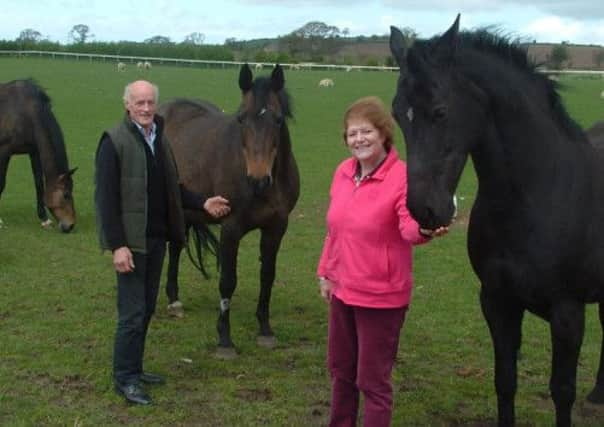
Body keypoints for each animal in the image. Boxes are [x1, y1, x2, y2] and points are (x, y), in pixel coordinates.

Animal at [0, 78, 76, 232]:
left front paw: (44, 219)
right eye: (66, 195)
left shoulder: (33, 151)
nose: (70, 225)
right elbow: (1, 183)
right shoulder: (4, 151)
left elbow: (39, 183)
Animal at [158, 63, 300, 358]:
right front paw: (224, 339)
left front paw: (265, 330)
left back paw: (175, 300)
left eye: (278, 119)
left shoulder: (276, 227)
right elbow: (228, 281)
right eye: (241, 119)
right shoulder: (231, 227)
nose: (258, 179)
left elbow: (267, 276)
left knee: (176, 248)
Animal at [390, 15, 604, 427]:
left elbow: (562, 391)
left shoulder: (568, 313)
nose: (425, 210)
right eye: (397, 114)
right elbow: (504, 380)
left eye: (440, 111)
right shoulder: (497, 300)